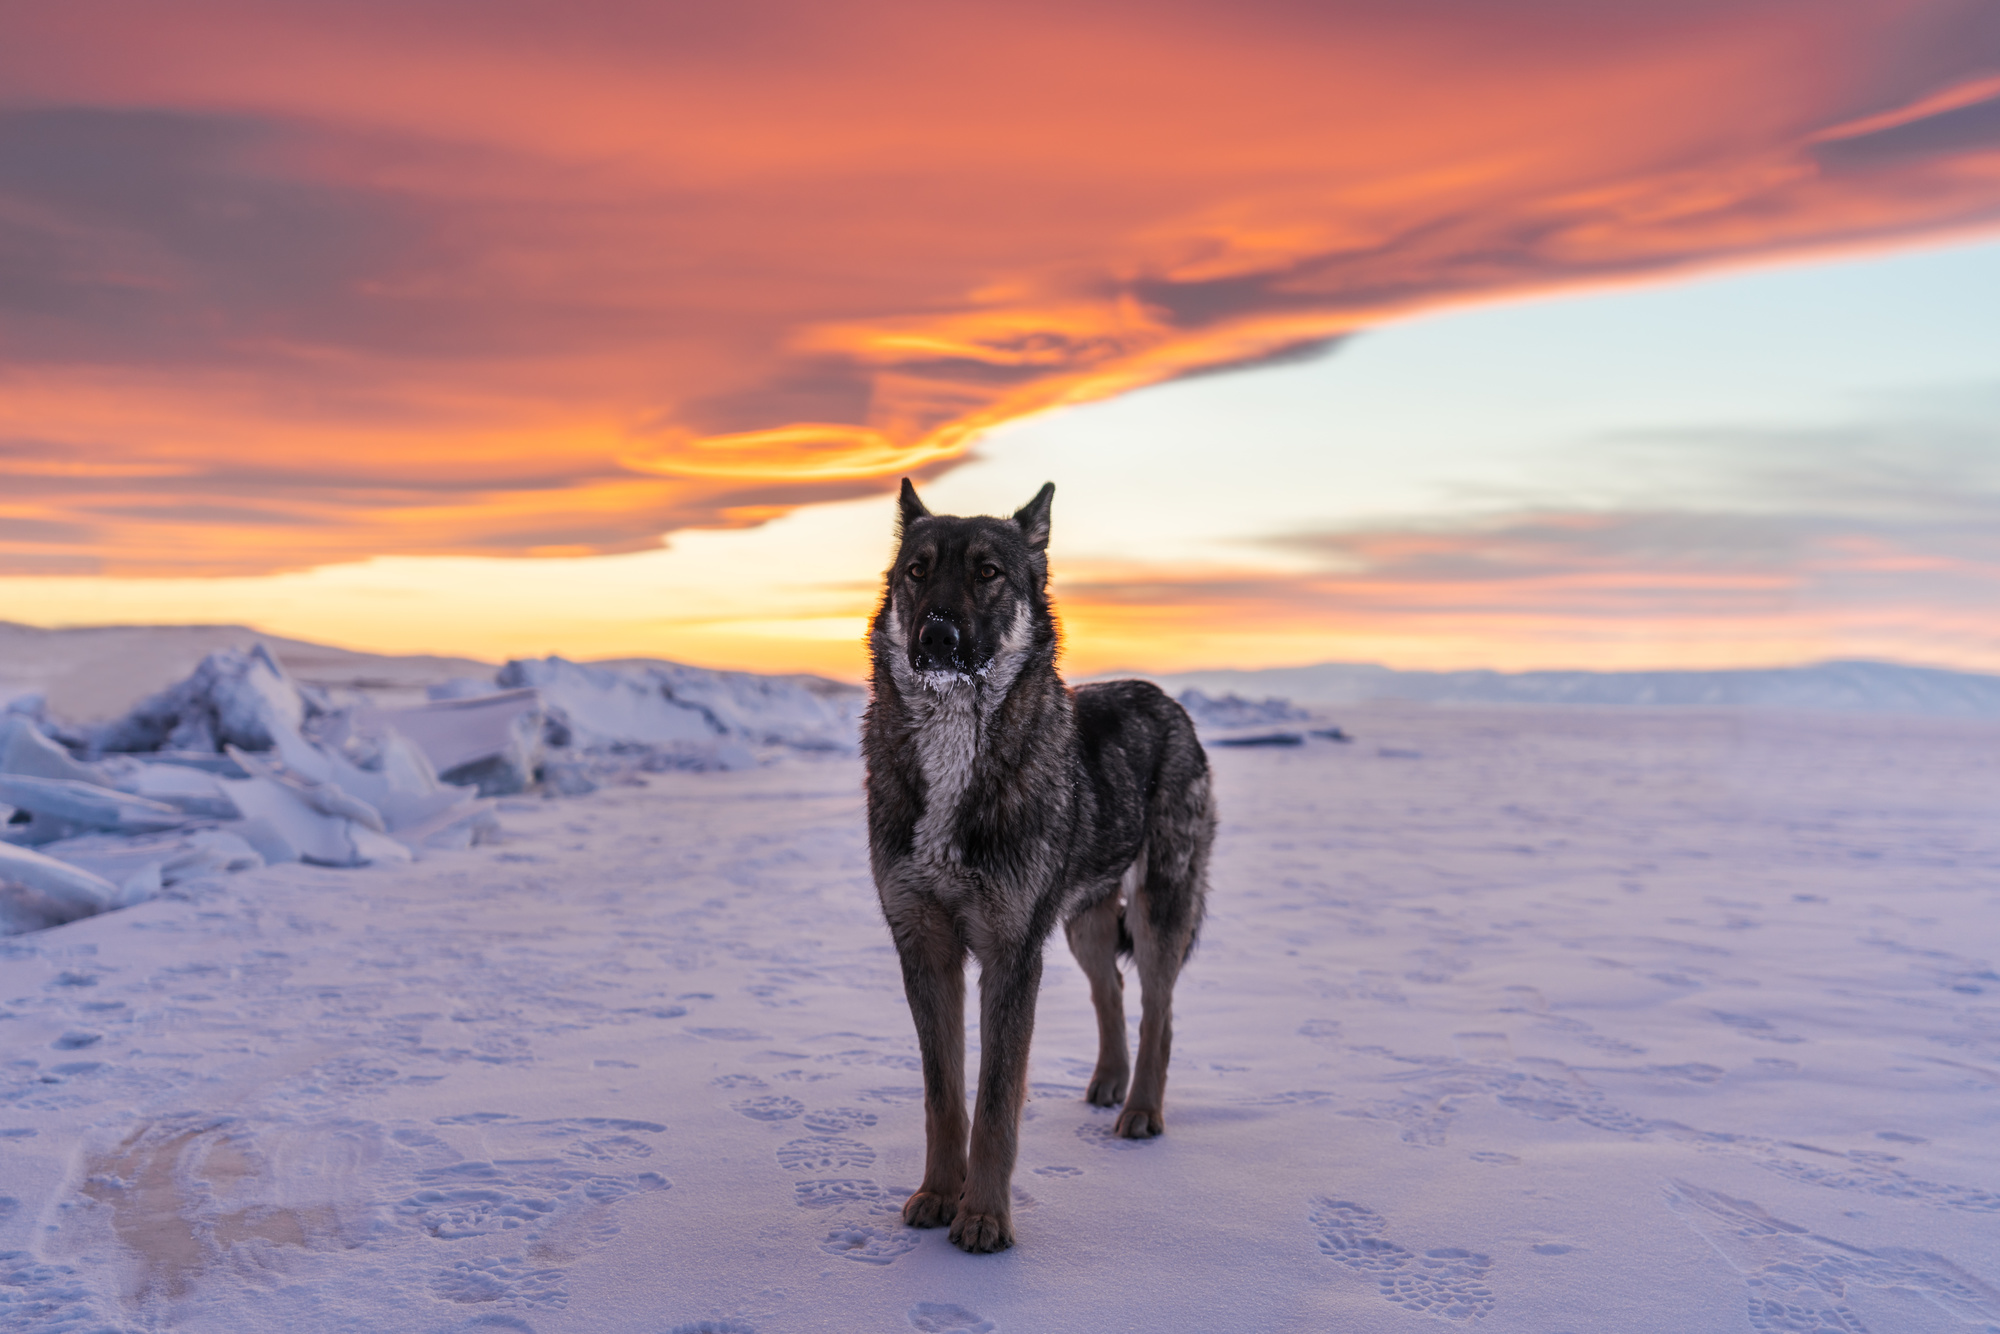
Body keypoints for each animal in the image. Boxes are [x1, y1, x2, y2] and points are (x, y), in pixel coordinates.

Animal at [862, 478, 1215, 1253]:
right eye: (918, 571)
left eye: (988, 572)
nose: (936, 637)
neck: (956, 746)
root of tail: (1165, 700)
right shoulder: (924, 946)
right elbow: (943, 1094)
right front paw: (940, 1195)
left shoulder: (1010, 952)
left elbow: (997, 1102)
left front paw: (984, 1219)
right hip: (1083, 924)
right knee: (1110, 993)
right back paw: (1109, 1084)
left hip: (1157, 913)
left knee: (1160, 1011)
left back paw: (1140, 1112)